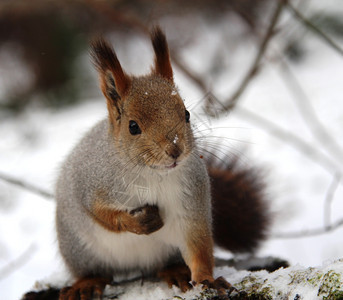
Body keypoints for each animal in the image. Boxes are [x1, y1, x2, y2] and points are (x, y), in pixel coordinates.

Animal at [24, 27, 272, 298]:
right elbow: (100, 213)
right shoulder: (92, 184)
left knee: (165, 264)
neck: (153, 174)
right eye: (133, 127)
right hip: (78, 247)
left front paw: (207, 279)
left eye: (186, 114)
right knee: (95, 270)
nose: (175, 150)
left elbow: (198, 245)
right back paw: (87, 283)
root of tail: (135, 266)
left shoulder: (192, 198)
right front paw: (137, 221)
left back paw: (176, 271)